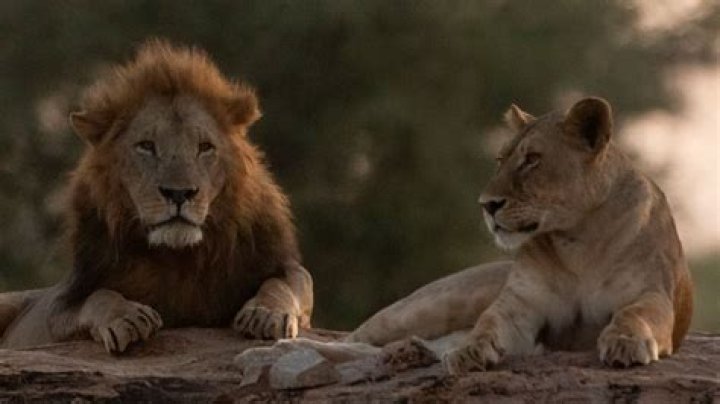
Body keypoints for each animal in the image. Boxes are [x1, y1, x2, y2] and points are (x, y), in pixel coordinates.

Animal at [0, 40, 313, 353]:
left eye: (205, 147)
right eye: (147, 146)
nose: (179, 193)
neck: (178, 257)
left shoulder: (284, 266)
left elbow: (284, 284)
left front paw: (266, 314)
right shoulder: (62, 305)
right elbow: (99, 296)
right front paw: (128, 318)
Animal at [267, 97, 693, 375]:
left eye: (532, 160)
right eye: (500, 159)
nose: (487, 205)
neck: (576, 240)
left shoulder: (651, 295)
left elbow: (634, 314)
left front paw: (625, 343)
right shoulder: (519, 306)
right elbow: (487, 325)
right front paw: (471, 352)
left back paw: (410, 353)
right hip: (434, 301)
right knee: (354, 340)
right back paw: (288, 345)